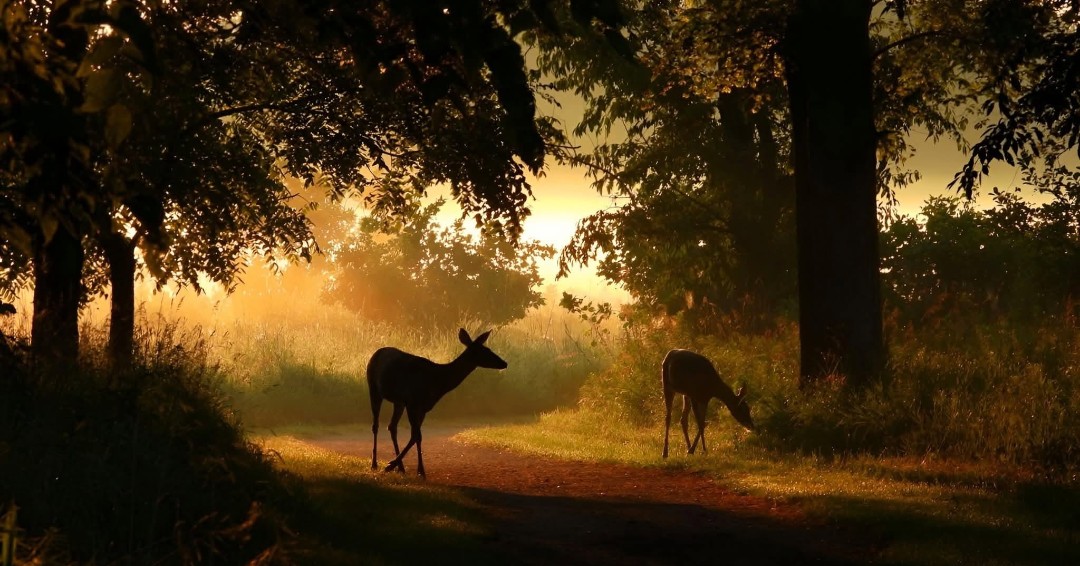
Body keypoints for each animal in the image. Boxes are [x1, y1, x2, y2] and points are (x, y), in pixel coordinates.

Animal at [367, 328, 507, 478]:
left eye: (488, 349)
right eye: (484, 351)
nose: (504, 363)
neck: (438, 381)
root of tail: (376, 353)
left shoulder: (423, 407)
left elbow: (416, 436)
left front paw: (418, 470)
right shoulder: (413, 402)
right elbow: (417, 435)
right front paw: (394, 466)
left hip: (398, 401)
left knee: (392, 426)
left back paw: (401, 467)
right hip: (373, 388)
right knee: (376, 425)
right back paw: (375, 464)